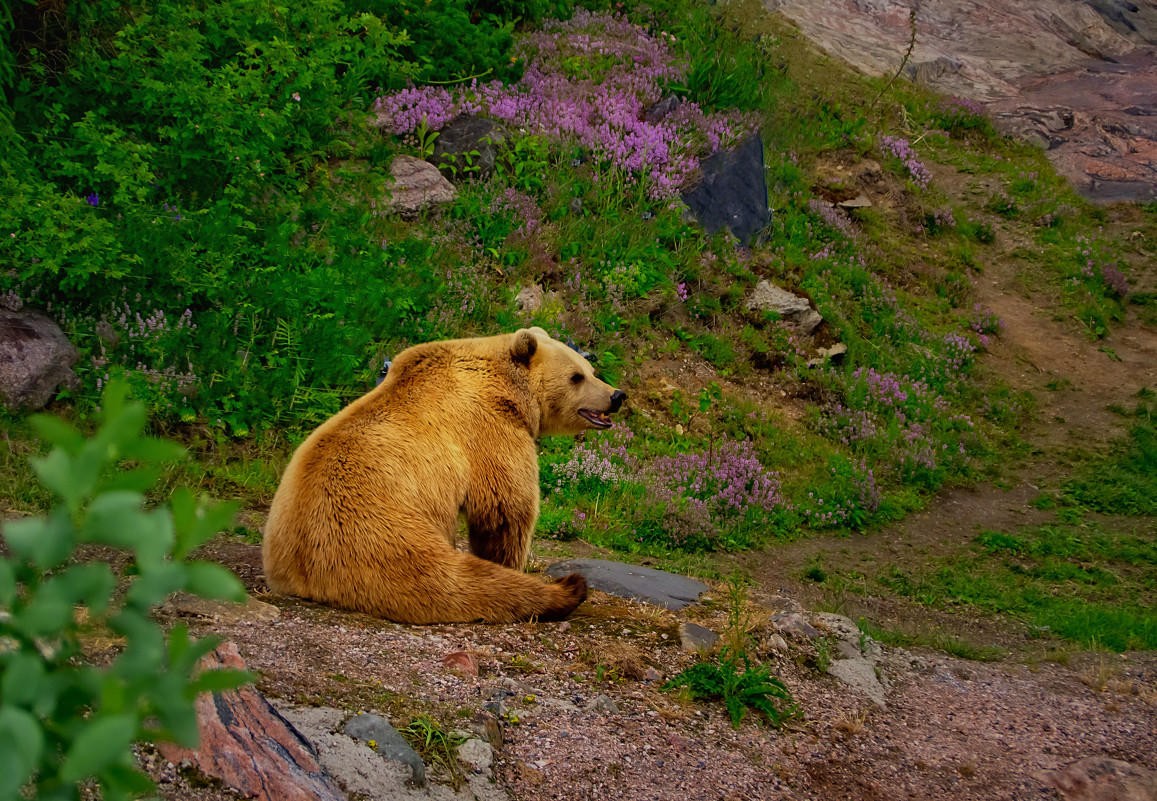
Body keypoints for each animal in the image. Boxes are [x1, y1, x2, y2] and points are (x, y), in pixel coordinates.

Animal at [262, 326, 624, 625]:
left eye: (591, 370)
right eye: (576, 377)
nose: (617, 396)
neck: (510, 391)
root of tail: (302, 577)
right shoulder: (489, 431)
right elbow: (505, 509)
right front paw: (509, 558)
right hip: (378, 536)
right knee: (457, 583)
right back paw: (568, 588)